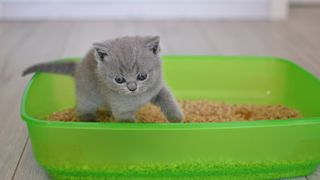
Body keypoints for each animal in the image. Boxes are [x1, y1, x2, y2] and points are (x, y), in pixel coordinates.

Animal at [21, 35, 182, 122]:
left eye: (142, 76)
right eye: (119, 80)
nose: (132, 87)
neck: (138, 97)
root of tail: (78, 66)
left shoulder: (157, 88)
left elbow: (168, 99)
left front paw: (176, 118)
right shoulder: (121, 110)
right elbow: (128, 121)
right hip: (88, 96)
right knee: (83, 110)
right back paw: (91, 120)